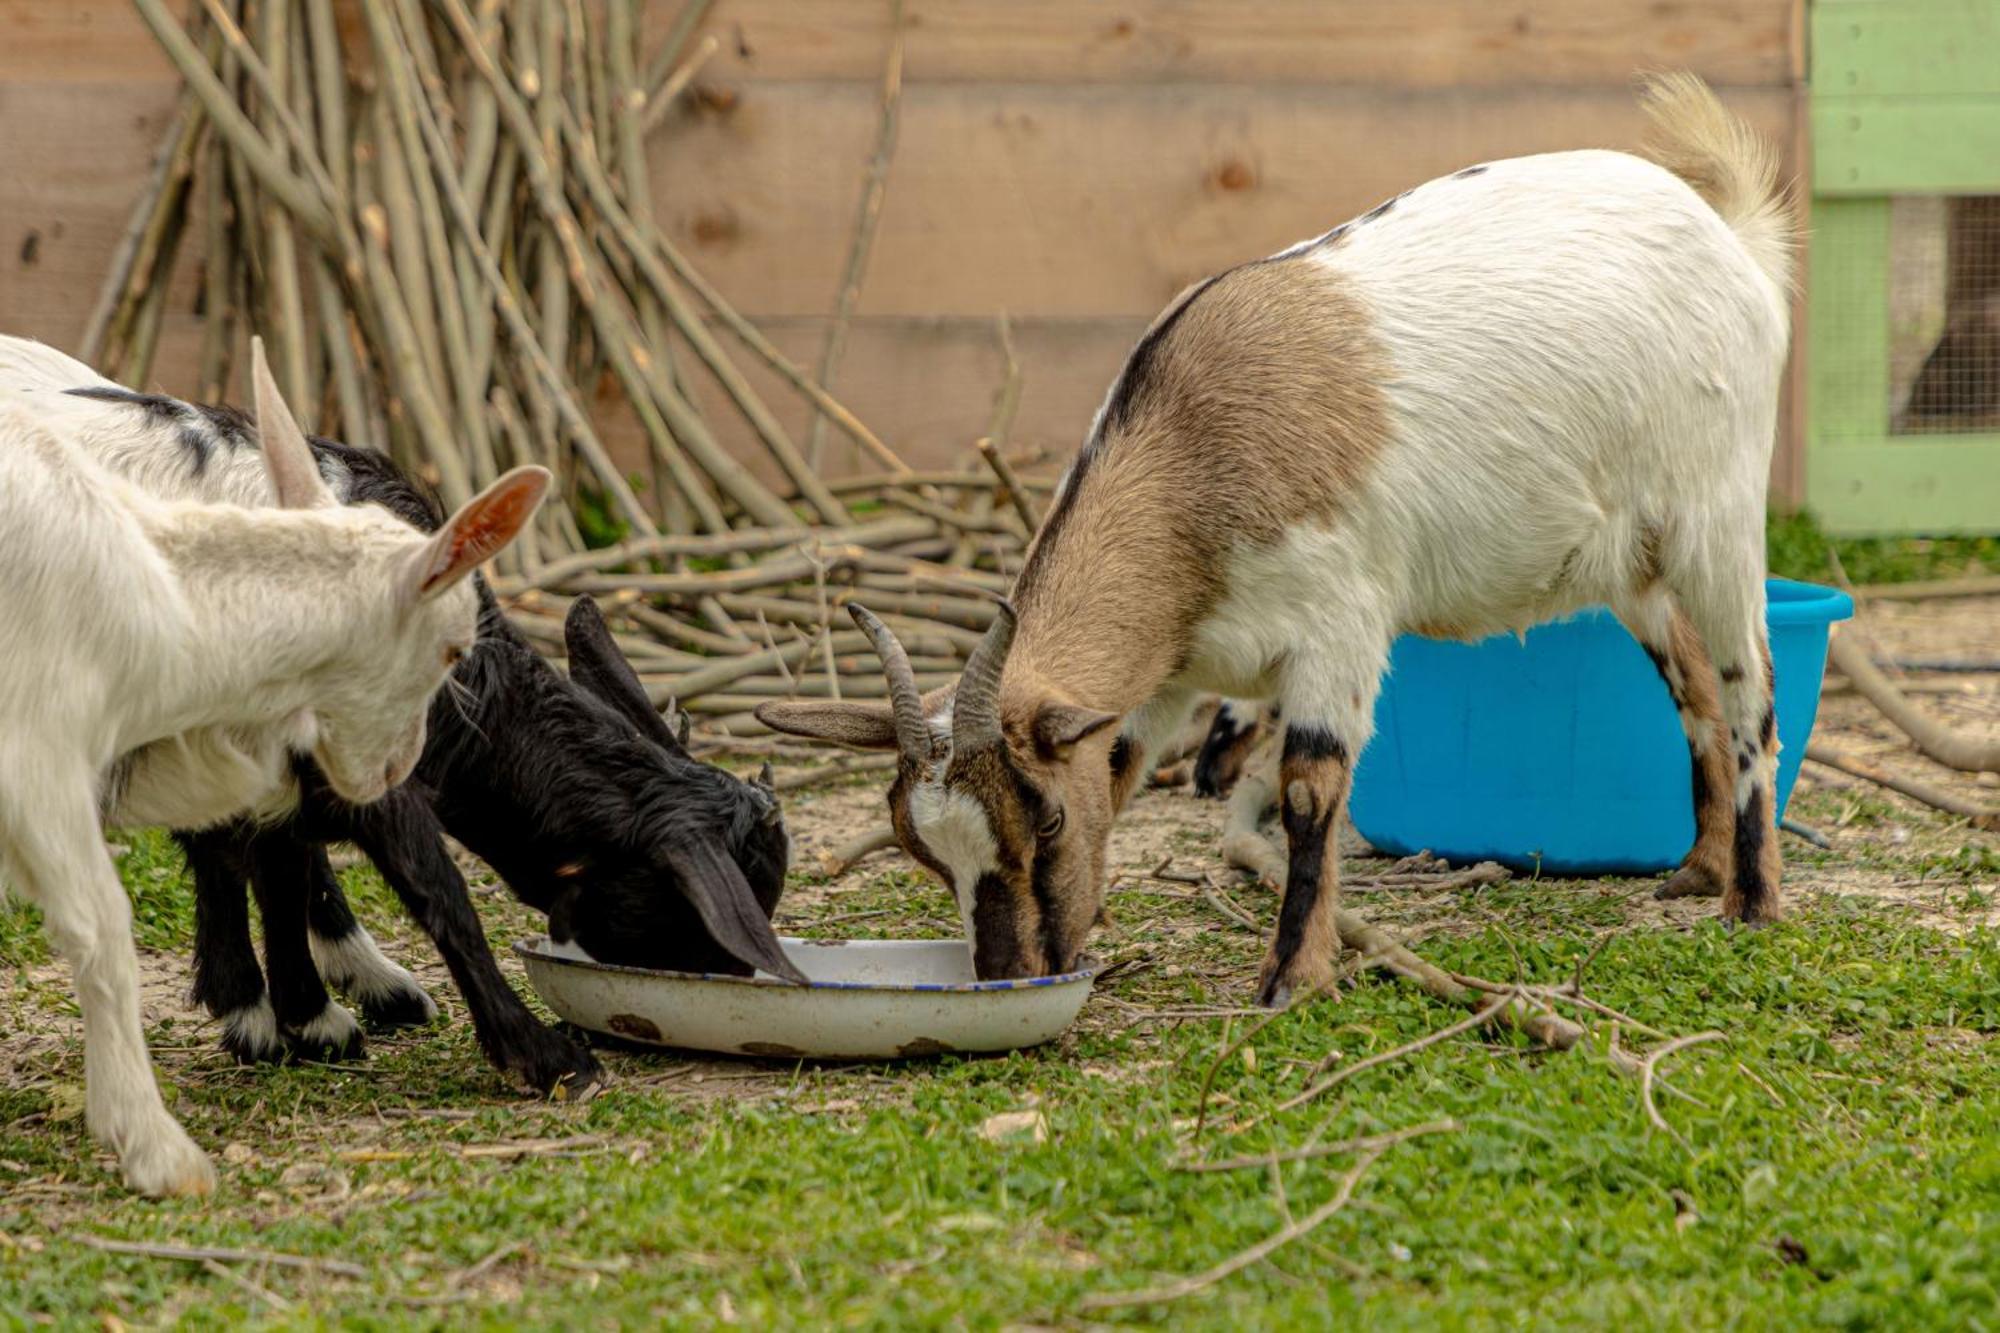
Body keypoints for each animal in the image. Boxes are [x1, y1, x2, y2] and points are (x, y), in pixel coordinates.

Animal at [0, 338, 548, 1184]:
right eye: (453, 647)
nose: (397, 771)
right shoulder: (41, 759)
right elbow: (106, 928)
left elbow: (272, 849)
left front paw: (301, 1009)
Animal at [1, 334, 796, 1088]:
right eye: (700, 911)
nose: (727, 987)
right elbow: (433, 887)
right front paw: (543, 1056)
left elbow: (276, 859)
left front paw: (296, 1015)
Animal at [764, 72, 1800, 1000]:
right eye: (920, 848)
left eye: (1047, 821)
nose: (1012, 971)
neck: (1191, 458)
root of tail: (1729, 235)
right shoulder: (1169, 677)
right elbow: (1134, 770)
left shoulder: (1337, 624)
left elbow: (1308, 790)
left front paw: (1292, 977)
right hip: (1636, 566)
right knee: (1693, 685)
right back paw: (1700, 868)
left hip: (1717, 513)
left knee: (1748, 687)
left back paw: (1752, 903)